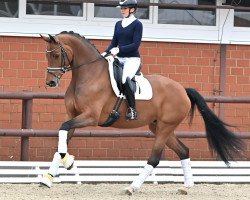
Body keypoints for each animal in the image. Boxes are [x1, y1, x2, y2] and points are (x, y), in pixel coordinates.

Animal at [40, 31, 243, 195]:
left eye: (56, 55)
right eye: (47, 56)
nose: (51, 82)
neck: (88, 74)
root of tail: (183, 90)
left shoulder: (90, 117)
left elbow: (63, 130)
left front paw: (69, 163)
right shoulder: (72, 115)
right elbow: (62, 139)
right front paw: (48, 177)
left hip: (164, 127)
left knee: (154, 159)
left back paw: (132, 187)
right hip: (160, 127)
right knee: (183, 150)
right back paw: (186, 186)